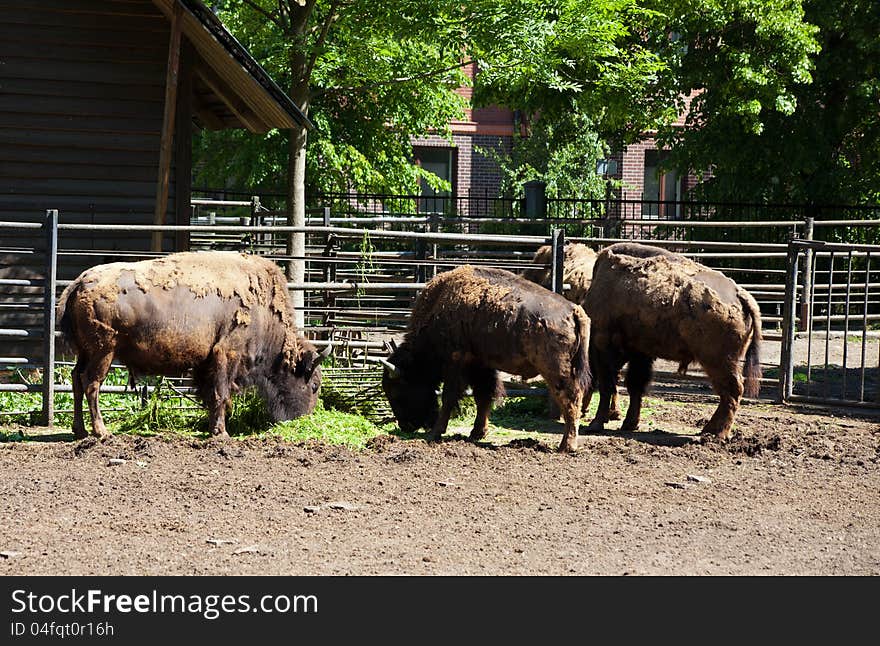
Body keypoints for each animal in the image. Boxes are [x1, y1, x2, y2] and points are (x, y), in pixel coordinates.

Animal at [55, 251, 330, 442]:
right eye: (314, 385)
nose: (306, 418)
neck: (264, 312)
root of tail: (80, 282)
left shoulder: (207, 362)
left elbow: (210, 395)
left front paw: (212, 428)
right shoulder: (226, 355)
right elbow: (221, 393)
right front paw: (221, 433)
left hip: (86, 352)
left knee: (76, 379)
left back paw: (79, 431)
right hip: (104, 351)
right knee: (91, 384)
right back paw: (101, 432)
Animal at [380, 266, 592, 454]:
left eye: (397, 391)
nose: (406, 426)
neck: (438, 306)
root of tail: (573, 310)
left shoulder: (456, 362)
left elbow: (450, 396)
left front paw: (435, 433)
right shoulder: (480, 364)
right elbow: (483, 396)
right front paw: (477, 433)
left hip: (556, 371)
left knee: (570, 399)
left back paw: (566, 446)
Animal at [580, 243, 760, 440]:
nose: (581, 411)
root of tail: (740, 295)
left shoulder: (603, 346)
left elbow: (607, 386)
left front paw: (595, 424)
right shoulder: (640, 353)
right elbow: (635, 385)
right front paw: (629, 424)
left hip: (718, 361)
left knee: (732, 391)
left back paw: (716, 434)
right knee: (729, 393)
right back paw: (708, 430)